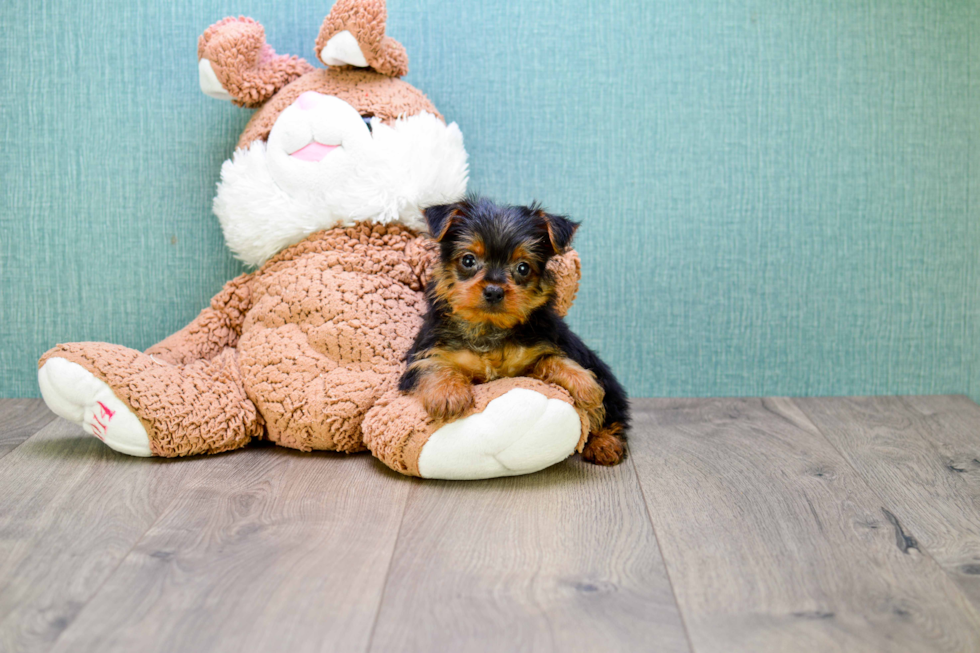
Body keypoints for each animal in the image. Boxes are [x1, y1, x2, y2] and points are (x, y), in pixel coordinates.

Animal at [402, 195, 632, 464]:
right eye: (468, 260)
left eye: (523, 268)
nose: (494, 291)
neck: (489, 329)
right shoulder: (426, 351)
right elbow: (433, 365)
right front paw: (448, 393)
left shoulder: (539, 350)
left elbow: (553, 359)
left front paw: (584, 384)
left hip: (608, 383)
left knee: (612, 414)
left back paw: (605, 444)